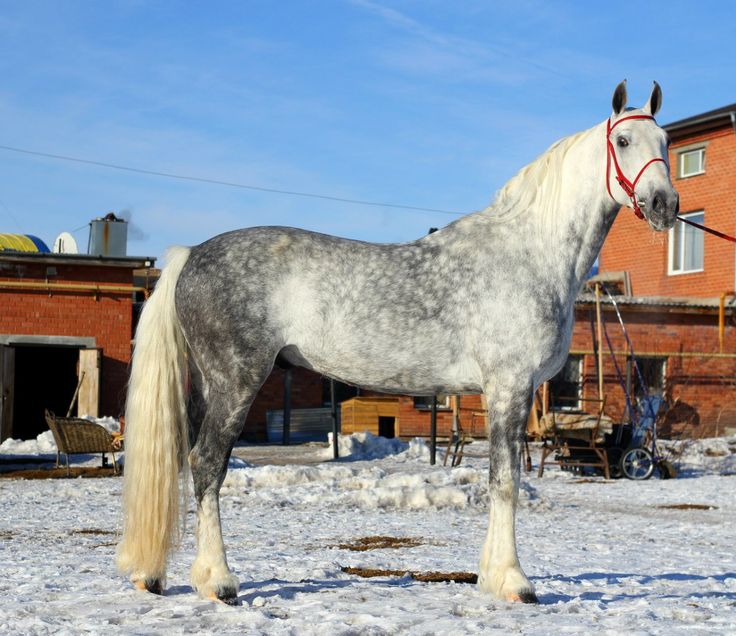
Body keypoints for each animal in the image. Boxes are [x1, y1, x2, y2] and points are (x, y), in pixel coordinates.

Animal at [119, 82, 680, 604]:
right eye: (623, 140)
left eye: (666, 142)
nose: (664, 205)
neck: (529, 253)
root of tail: (190, 254)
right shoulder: (509, 386)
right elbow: (505, 481)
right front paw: (514, 582)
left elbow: (500, 479)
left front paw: (489, 576)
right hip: (236, 381)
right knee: (208, 464)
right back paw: (219, 581)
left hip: (206, 386)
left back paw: (158, 576)